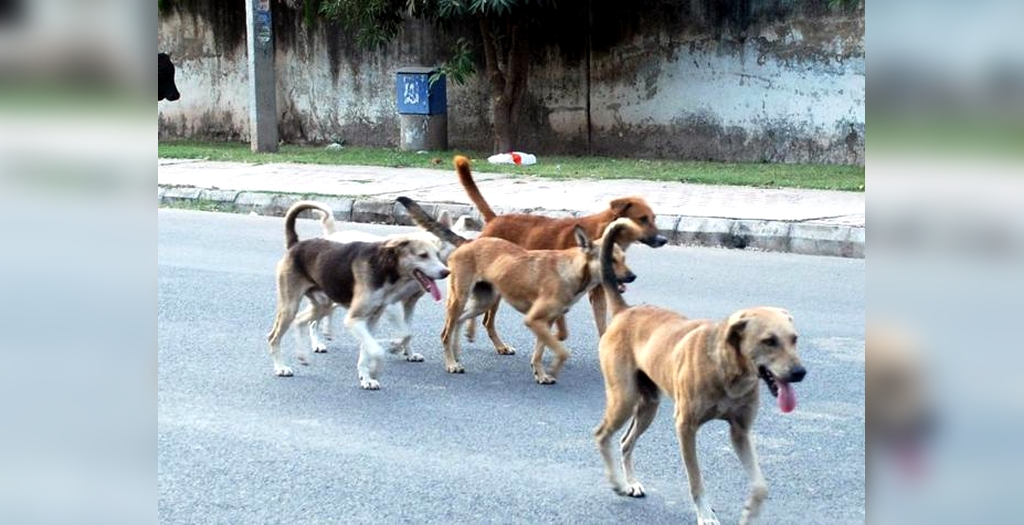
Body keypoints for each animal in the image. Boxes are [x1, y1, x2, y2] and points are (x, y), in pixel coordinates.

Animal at [267, 201, 450, 389]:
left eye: (437, 254)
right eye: (423, 255)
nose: (446, 272)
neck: (385, 267)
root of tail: (296, 244)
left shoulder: (372, 319)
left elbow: (369, 350)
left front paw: (366, 377)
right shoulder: (354, 319)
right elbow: (377, 349)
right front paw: (376, 368)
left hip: (322, 303)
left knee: (301, 320)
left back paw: (302, 354)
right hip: (290, 306)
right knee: (273, 337)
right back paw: (281, 367)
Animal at [300, 201, 479, 361]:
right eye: (462, 246)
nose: (446, 272)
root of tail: (333, 235)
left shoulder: (410, 303)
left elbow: (408, 330)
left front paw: (408, 353)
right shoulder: (389, 303)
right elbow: (406, 332)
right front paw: (395, 347)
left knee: (328, 310)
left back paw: (327, 330)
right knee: (314, 321)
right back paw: (317, 342)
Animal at [397, 196, 639, 384]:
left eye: (623, 258)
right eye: (610, 260)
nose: (632, 277)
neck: (570, 269)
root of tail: (467, 242)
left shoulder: (545, 322)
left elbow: (540, 351)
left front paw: (540, 374)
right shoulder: (534, 320)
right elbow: (561, 351)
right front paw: (551, 369)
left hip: (483, 301)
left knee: (459, 322)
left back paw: (457, 355)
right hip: (459, 298)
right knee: (446, 331)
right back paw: (451, 363)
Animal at [454, 155, 667, 345]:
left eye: (654, 218)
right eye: (642, 219)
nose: (663, 240)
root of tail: (494, 218)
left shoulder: (597, 293)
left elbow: (601, 326)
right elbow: (562, 331)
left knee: (482, 313)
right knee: (486, 319)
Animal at [593, 220, 806, 524]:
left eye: (794, 339)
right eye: (769, 341)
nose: (800, 372)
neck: (728, 372)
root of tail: (625, 311)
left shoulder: (740, 431)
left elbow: (760, 485)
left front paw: (750, 511)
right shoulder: (686, 427)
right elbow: (696, 480)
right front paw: (705, 513)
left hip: (648, 405)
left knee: (625, 441)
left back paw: (630, 482)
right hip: (624, 397)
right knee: (602, 435)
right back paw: (617, 483)